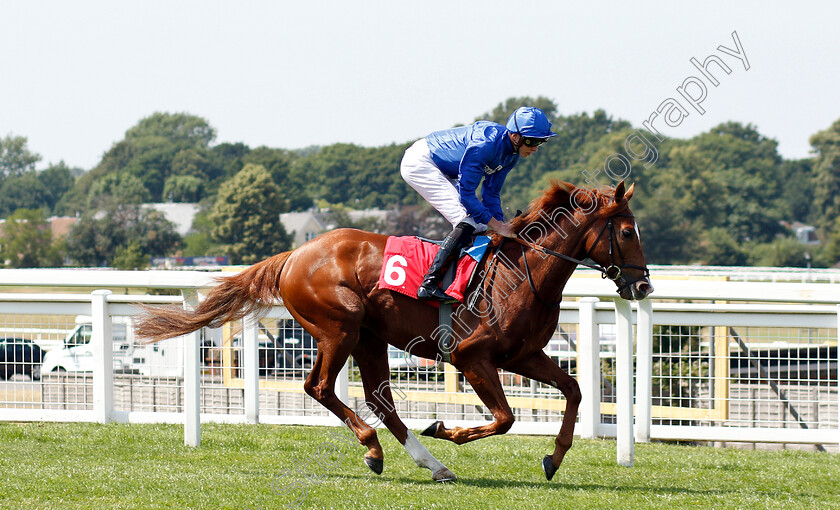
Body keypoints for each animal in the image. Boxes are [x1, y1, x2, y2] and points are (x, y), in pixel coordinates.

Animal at [138, 179, 652, 482]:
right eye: (628, 232)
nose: (643, 285)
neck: (522, 274)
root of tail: (295, 254)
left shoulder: (523, 356)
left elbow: (574, 390)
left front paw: (554, 458)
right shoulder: (472, 356)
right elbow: (505, 418)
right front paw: (446, 428)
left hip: (369, 335)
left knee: (379, 400)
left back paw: (429, 463)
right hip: (340, 326)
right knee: (319, 386)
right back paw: (379, 450)